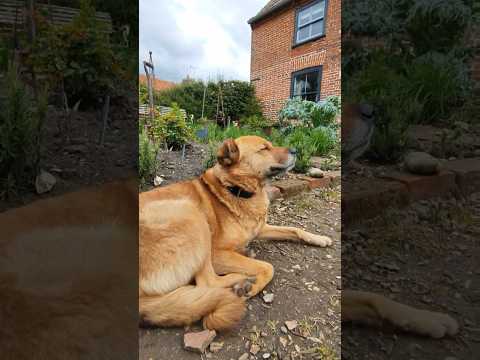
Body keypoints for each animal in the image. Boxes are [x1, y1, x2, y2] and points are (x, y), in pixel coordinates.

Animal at [138, 136, 458, 338]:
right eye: (265, 148)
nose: (294, 149)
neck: (237, 191)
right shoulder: (219, 252)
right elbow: (269, 267)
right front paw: (254, 283)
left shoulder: (263, 228)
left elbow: (294, 229)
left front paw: (319, 238)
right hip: (188, 213)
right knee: (207, 283)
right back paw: (241, 284)